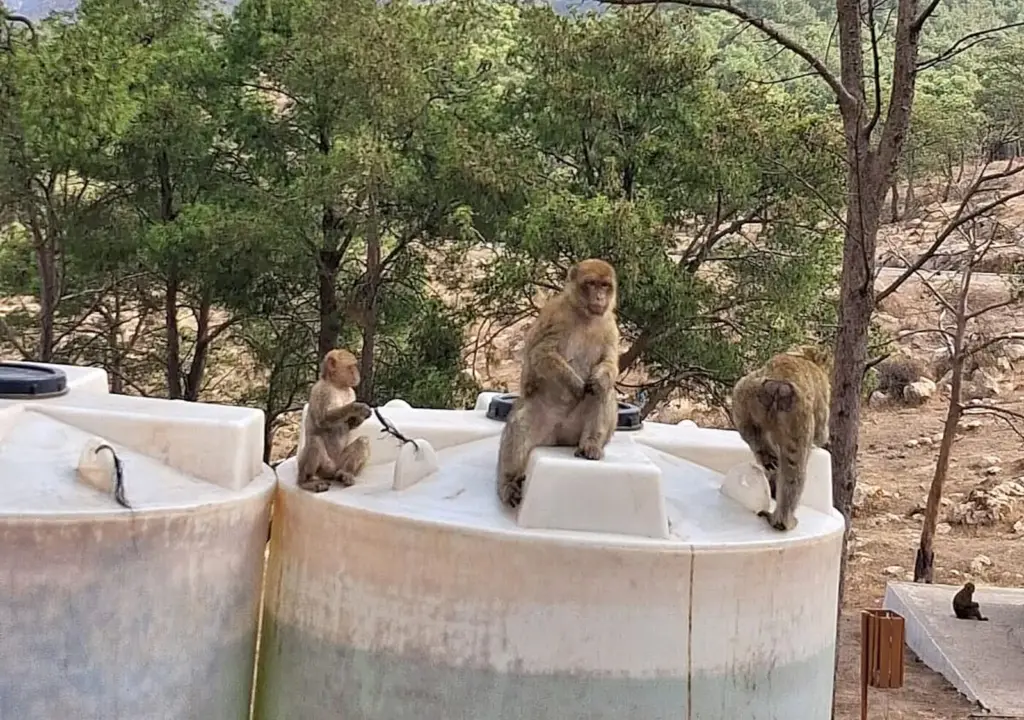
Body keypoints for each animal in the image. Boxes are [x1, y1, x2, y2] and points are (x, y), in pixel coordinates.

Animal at [296, 348, 373, 493]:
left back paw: (346, 473)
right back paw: (306, 482)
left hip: (339, 464)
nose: (356, 372)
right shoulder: (321, 390)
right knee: (315, 441)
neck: (337, 385)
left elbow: (351, 424)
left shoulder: (351, 392)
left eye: (355, 365)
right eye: (351, 366)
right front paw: (358, 407)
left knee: (363, 440)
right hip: (324, 467)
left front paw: (358, 417)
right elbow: (322, 419)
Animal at [496, 258, 621, 509]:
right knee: (519, 426)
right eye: (591, 284)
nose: (600, 298)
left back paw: (591, 444)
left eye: (605, 285)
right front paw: (575, 384)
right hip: (540, 419)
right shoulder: (557, 317)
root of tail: (560, 437)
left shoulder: (610, 326)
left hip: (576, 431)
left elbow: (609, 363)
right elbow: (541, 354)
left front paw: (599, 379)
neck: (585, 316)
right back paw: (509, 482)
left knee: (604, 392)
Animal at [730, 344, 832, 532]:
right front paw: (822, 440)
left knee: (750, 430)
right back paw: (784, 521)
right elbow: (821, 431)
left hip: (746, 393)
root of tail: (778, 386)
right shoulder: (822, 392)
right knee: (794, 468)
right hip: (798, 417)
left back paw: (766, 456)